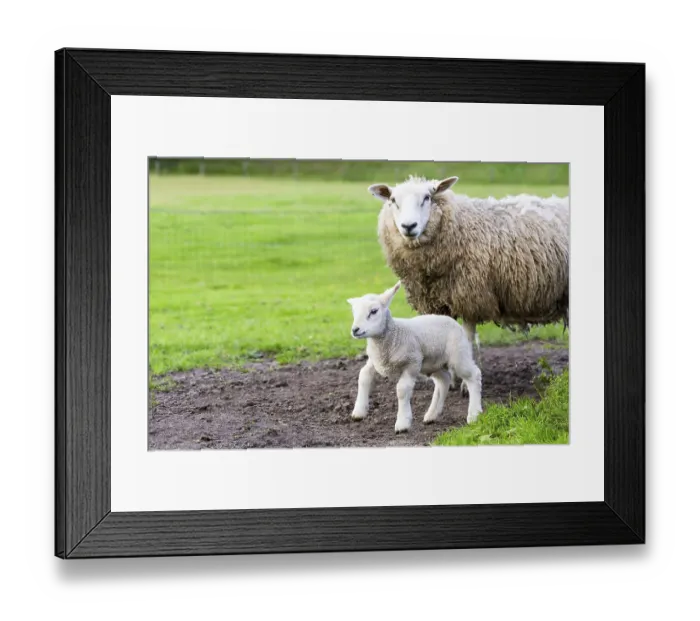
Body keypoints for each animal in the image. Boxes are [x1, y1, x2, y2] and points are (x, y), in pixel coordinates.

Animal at [347, 281, 482, 434]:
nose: (355, 330)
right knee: (444, 380)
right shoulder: (375, 362)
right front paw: (359, 411)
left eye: (374, 311)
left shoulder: (412, 363)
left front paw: (402, 423)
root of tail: (453, 321)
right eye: (354, 312)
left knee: (474, 375)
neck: (391, 337)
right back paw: (432, 415)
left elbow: (402, 390)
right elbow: (363, 376)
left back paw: (474, 415)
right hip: (432, 363)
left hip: (458, 355)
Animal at [368, 175, 569, 391]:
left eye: (427, 197)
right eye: (393, 200)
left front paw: (463, 382)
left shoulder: (470, 296)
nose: (408, 226)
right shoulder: (438, 301)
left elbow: (466, 338)